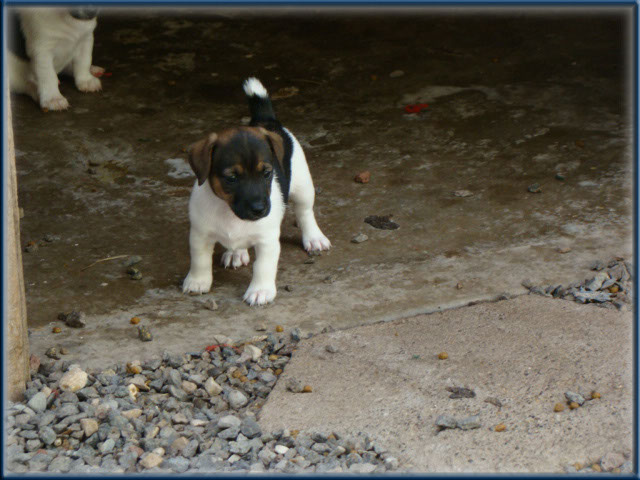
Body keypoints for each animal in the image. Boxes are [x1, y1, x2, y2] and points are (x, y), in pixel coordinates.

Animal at [184, 77, 332, 306]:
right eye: (231, 178)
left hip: (303, 187)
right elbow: (199, 260)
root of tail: (266, 121)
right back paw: (236, 253)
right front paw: (197, 281)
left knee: (305, 212)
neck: (229, 212)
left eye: (267, 173)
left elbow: (263, 267)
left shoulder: (267, 240)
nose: (260, 209)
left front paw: (260, 291)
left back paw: (314, 237)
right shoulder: (200, 234)